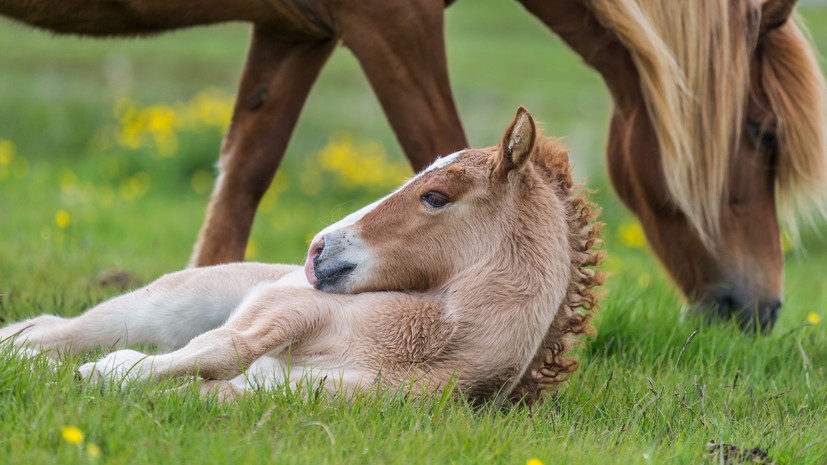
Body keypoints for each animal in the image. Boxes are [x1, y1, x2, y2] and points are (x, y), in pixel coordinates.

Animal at [0, 0, 824, 330]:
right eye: (761, 132)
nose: (757, 309)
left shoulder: (294, 30)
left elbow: (245, 170)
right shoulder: (393, 20)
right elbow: (453, 142)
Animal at [0, 108, 604, 402]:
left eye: (435, 196)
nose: (318, 251)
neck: (427, 347)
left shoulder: (305, 399)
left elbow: (208, 390)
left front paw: (108, 377)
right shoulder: (288, 307)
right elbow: (225, 347)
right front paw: (104, 373)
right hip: (165, 304)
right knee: (60, 329)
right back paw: (39, 358)